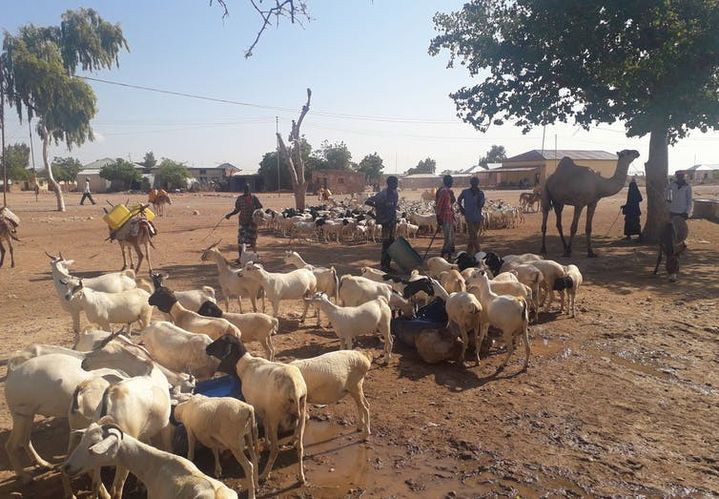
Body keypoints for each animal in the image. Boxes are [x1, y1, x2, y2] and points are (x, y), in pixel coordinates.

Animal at [208, 336, 310, 484]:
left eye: (221, 340)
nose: (207, 348)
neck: (245, 365)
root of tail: (295, 390)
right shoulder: (264, 409)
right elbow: (265, 425)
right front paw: (265, 444)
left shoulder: (253, 406)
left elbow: (255, 429)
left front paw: (257, 453)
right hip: (301, 412)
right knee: (300, 447)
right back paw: (301, 477)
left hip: (276, 416)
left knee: (276, 449)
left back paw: (264, 474)